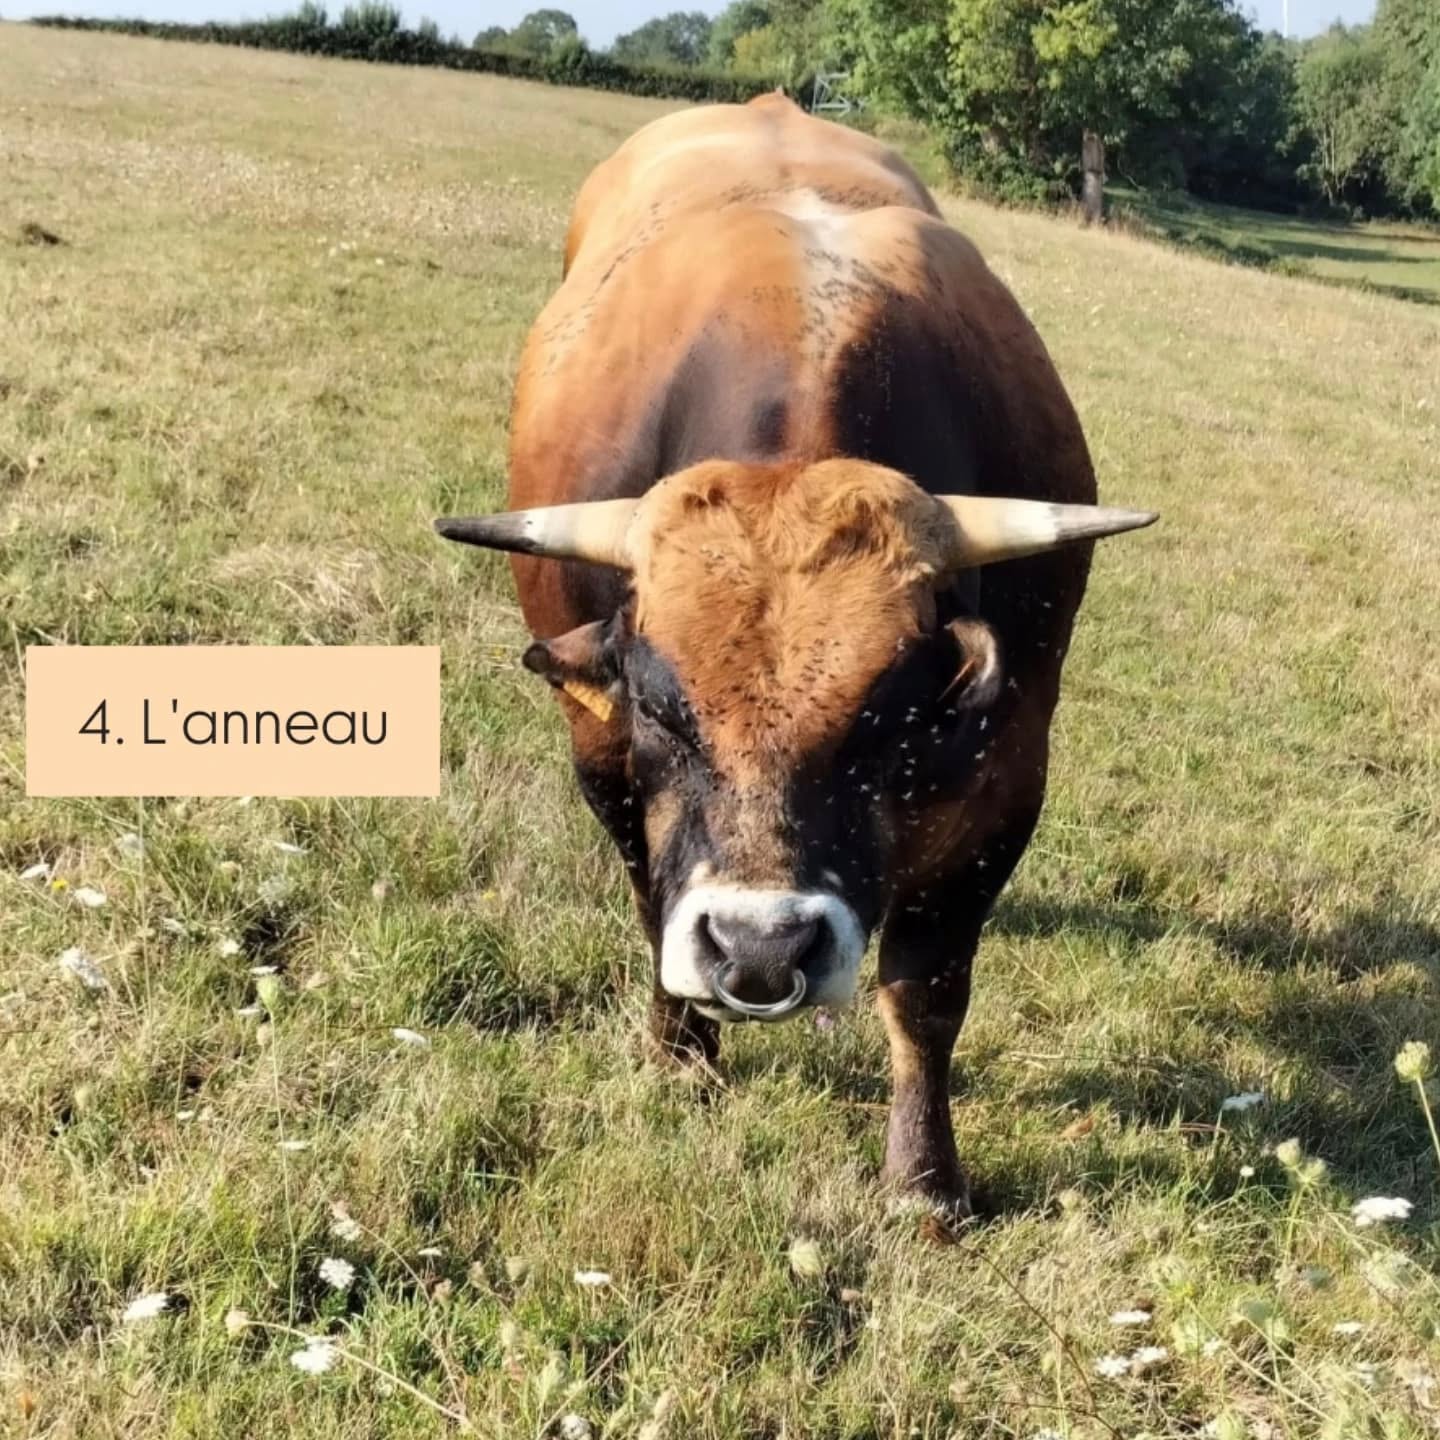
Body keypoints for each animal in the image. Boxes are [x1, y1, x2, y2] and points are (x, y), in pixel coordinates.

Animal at [436, 93, 1155, 1215]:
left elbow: (926, 989)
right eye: (660, 709)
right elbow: (651, 906)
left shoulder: (1006, 777)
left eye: (888, 719)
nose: (762, 947)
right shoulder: (603, 757)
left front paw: (924, 1181)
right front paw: (681, 1059)